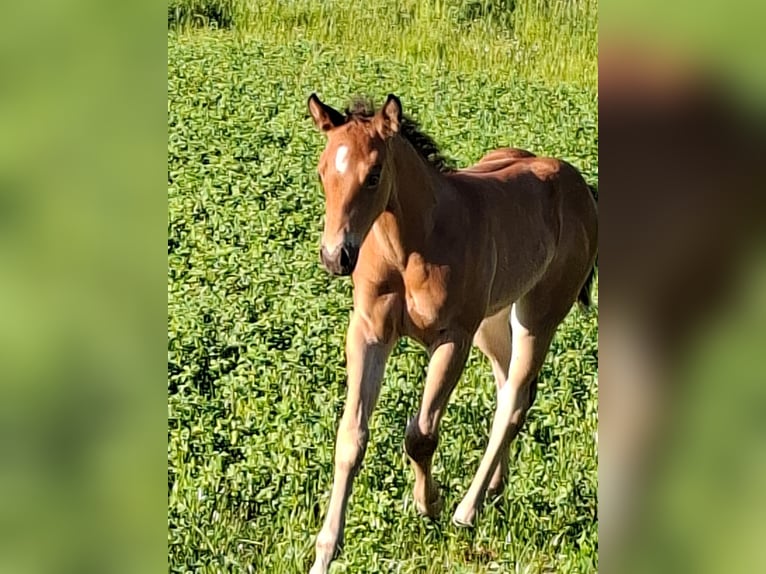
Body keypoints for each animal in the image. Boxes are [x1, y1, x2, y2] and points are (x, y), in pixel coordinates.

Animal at [306, 93, 598, 574]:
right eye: (323, 170)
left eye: (374, 175)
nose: (336, 256)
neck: (411, 247)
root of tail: (581, 186)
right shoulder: (368, 331)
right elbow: (351, 436)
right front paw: (325, 552)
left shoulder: (453, 337)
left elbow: (420, 435)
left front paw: (430, 505)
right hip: (494, 323)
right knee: (510, 391)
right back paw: (494, 490)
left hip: (537, 314)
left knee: (514, 400)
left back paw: (467, 509)